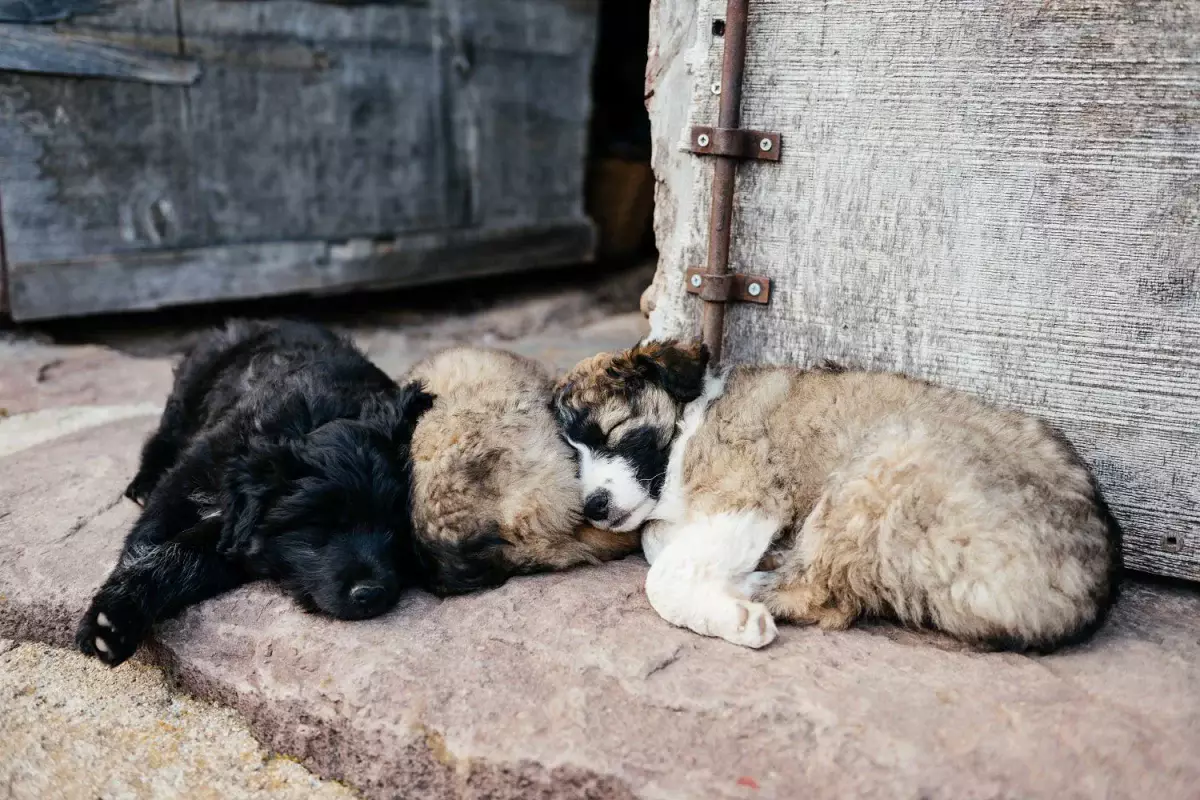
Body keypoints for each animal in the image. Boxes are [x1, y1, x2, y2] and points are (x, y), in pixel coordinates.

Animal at [76, 321, 432, 671]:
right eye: (322, 525)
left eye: (396, 529)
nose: (372, 593)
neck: (312, 420)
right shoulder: (190, 479)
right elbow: (147, 538)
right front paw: (110, 618)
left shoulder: (235, 530)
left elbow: (185, 555)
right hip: (186, 394)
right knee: (161, 436)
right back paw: (143, 482)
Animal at [552, 340, 1123, 652]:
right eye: (572, 453)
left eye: (613, 430)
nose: (593, 507)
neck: (690, 421)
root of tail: (1089, 597)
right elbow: (658, 539)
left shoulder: (747, 493)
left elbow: (661, 576)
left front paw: (731, 616)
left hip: (875, 472)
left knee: (828, 597)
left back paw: (755, 590)